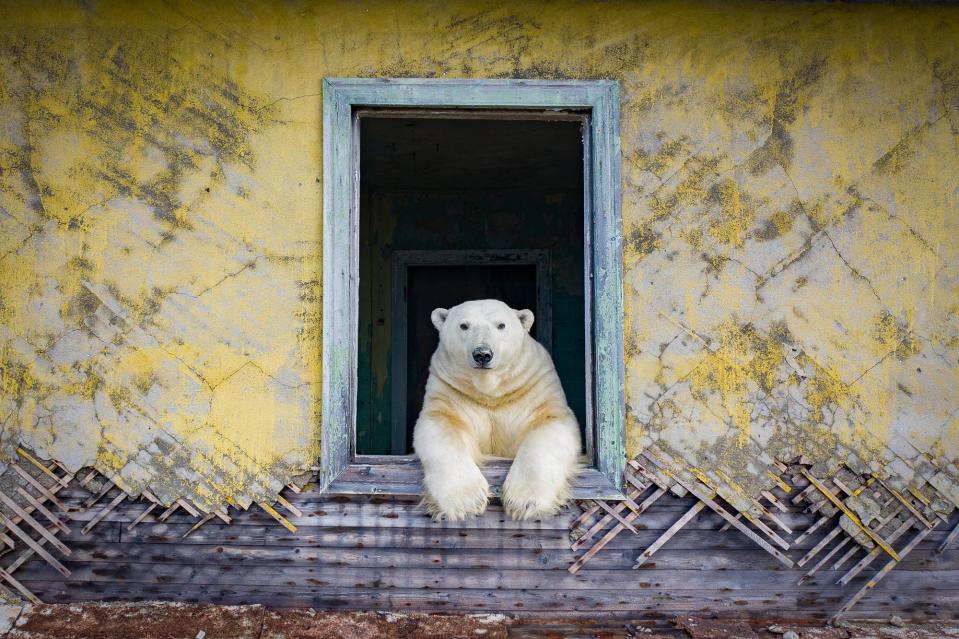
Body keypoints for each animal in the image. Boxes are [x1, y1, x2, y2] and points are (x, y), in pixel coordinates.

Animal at [410, 298, 576, 520]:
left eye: (501, 325)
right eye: (464, 325)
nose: (482, 354)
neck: (490, 392)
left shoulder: (534, 386)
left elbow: (550, 423)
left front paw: (524, 502)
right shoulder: (450, 391)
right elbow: (441, 425)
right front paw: (466, 502)